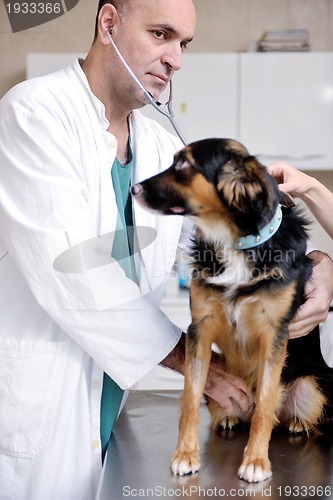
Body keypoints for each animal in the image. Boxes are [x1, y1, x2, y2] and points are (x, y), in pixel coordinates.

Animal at [130, 139, 332, 482]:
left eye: (184, 164)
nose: (133, 188)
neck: (235, 243)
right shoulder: (200, 329)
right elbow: (189, 398)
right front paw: (185, 455)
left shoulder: (274, 336)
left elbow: (264, 405)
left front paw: (256, 461)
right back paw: (230, 418)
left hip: (312, 385)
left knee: (278, 413)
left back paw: (295, 422)